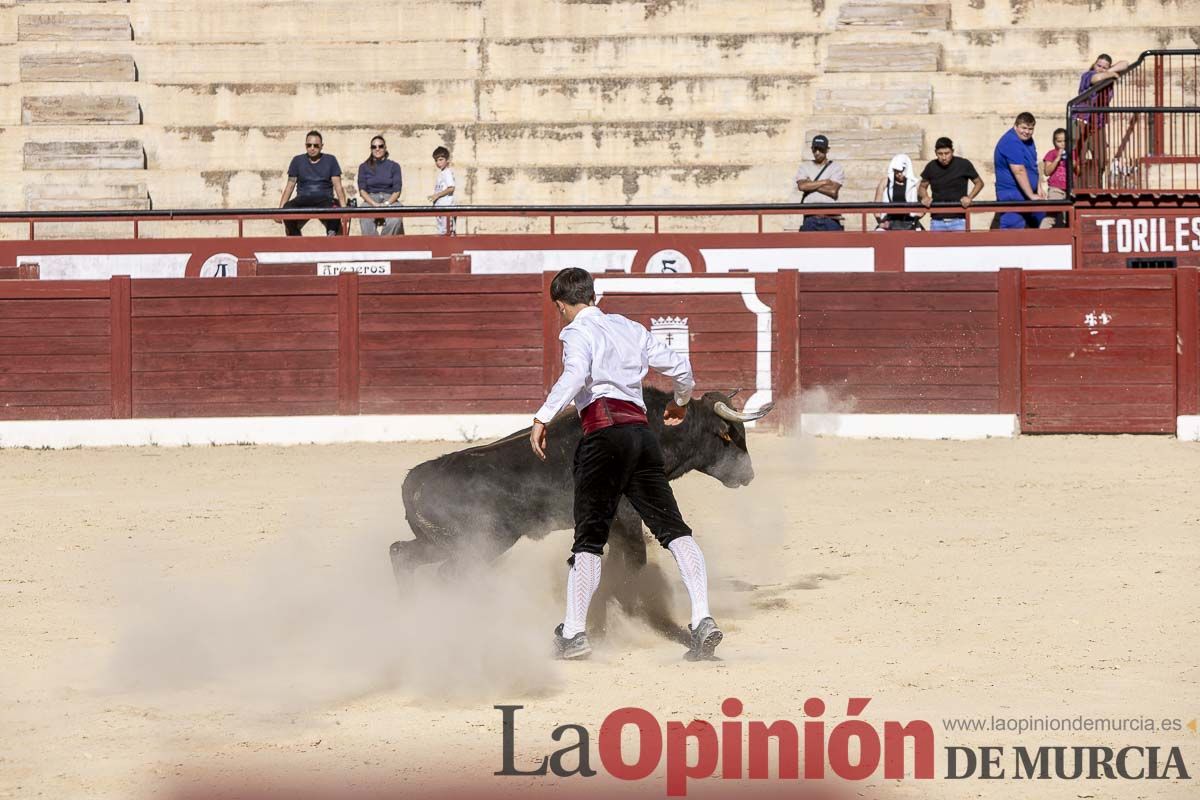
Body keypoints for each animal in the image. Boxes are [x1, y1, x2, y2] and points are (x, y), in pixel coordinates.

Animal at [388, 388, 772, 638]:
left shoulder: (617, 523)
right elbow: (634, 561)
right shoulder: (628, 517)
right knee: (445, 573)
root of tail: (414, 481)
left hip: (443, 543)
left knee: (401, 553)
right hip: (480, 543)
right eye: (729, 436)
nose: (749, 474)